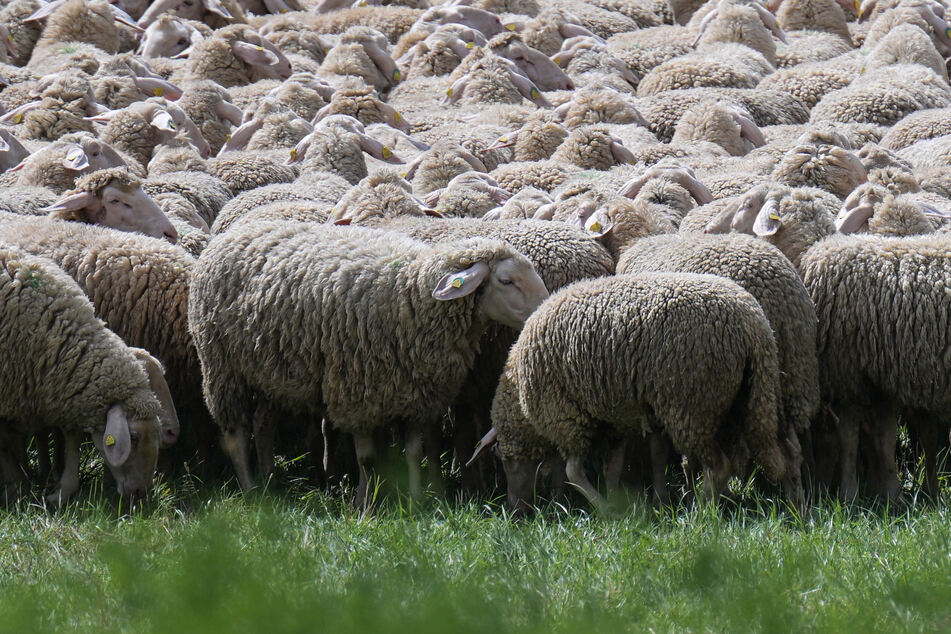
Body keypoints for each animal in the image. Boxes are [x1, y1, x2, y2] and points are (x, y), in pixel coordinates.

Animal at [0, 241, 165, 504]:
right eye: (134, 437)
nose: (140, 494)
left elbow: (71, 438)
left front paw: (62, 491)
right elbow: (5, 444)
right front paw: (17, 487)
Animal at [189, 222, 548, 504]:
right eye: (506, 281)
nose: (544, 310)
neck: (412, 296)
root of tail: (230, 233)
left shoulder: (417, 395)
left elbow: (414, 452)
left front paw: (416, 502)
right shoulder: (355, 395)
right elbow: (367, 458)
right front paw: (365, 508)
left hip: (269, 372)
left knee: (263, 424)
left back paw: (269, 482)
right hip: (221, 365)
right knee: (235, 434)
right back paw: (251, 491)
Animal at [494, 270, 800, 508]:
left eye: (509, 464)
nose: (515, 510)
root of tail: (754, 326)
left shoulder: (564, 416)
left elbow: (574, 472)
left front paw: (605, 509)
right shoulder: (616, 416)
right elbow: (622, 465)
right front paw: (635, 503)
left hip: (692, 405)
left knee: (719, 467)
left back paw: (701, 512)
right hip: (752, 395)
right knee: (785, 453)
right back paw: (796, 509)